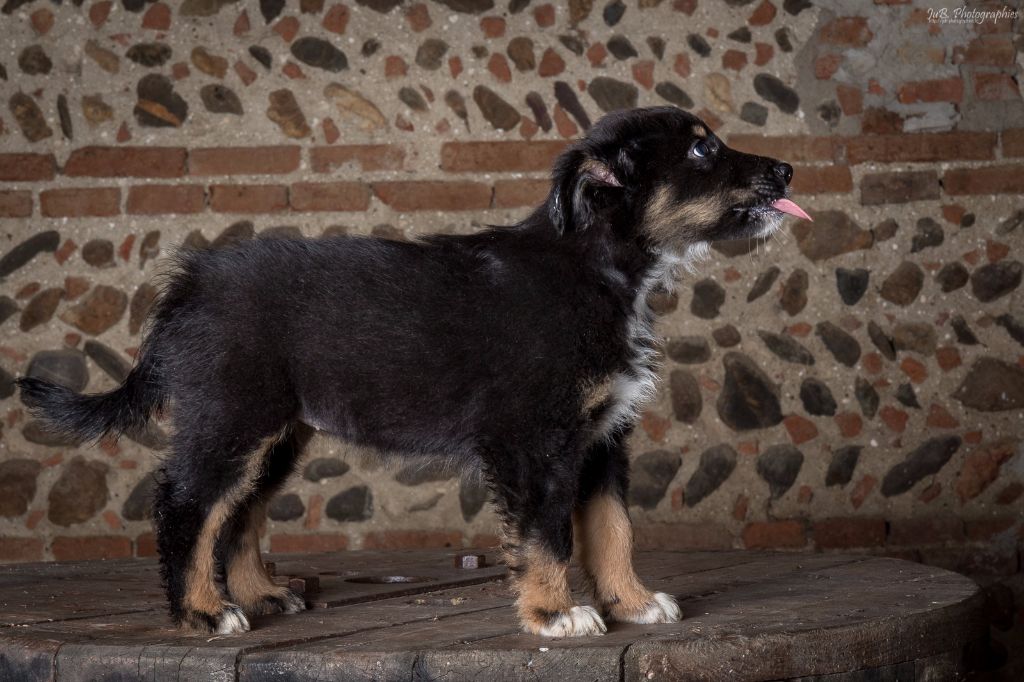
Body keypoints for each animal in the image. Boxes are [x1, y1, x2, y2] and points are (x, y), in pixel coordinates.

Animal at [19, 106, 809, 637]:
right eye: (704, 147)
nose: (788, 169)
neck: (597, 267)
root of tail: (189, 284)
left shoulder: (602, 437)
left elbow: (614, 528)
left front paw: (634, 602)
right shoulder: (535, 442)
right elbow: (549, 534)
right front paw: (554, 614)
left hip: (276, 431)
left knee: (237, 513)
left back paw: (260, 596)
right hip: (232, 415)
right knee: (188, 507)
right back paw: (203, 614)